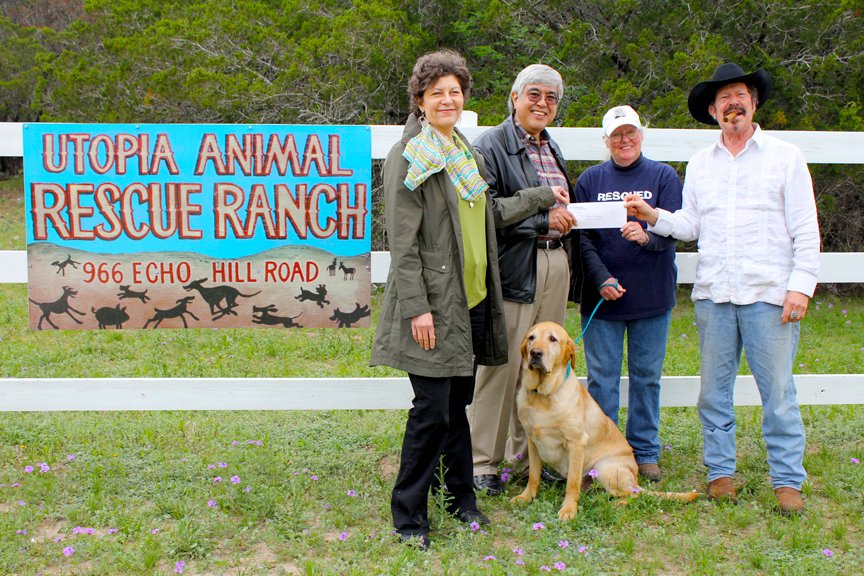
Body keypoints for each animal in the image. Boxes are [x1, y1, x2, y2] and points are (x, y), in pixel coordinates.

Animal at [510, 322, 700, 520]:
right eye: (531, 338)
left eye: (553, 339)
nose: (535, 353)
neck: (542, 395)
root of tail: (635, 479)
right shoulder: (533, 441)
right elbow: (533, 475)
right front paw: (526, 497)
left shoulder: (576, 444)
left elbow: (572, 483)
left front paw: (569, 510)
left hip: (604, 468)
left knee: (634, 495)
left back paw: (617, 505)